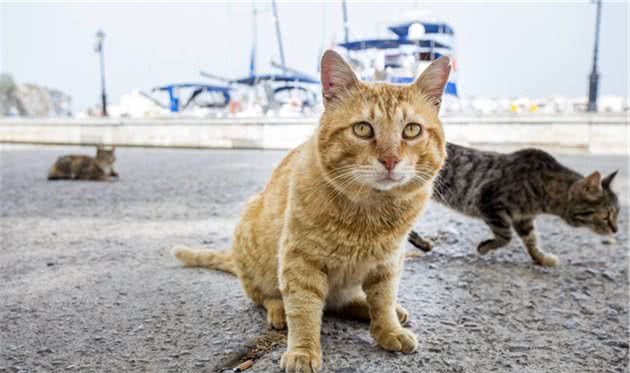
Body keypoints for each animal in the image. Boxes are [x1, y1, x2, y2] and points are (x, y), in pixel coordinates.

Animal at [172, 50, 450, 372]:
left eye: (412, 130)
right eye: (362, 128)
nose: (390, 159)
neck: (370, 215)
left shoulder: (388, 262)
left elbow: (383, 300)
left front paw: (388, 329)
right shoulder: (300, 260)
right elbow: (304, 310)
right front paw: (303, 351)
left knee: (344, 302)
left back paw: (383, 310)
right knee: (266, 296)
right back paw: (279, 310)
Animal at [410, 141, 624, 266]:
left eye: (617, 213)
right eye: (606, 215)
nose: (615, 230)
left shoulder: (524, 218)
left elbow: (531, 240)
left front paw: (541, 258)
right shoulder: (490, 202)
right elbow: (506, 237)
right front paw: (485, 247)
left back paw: (422, 244)